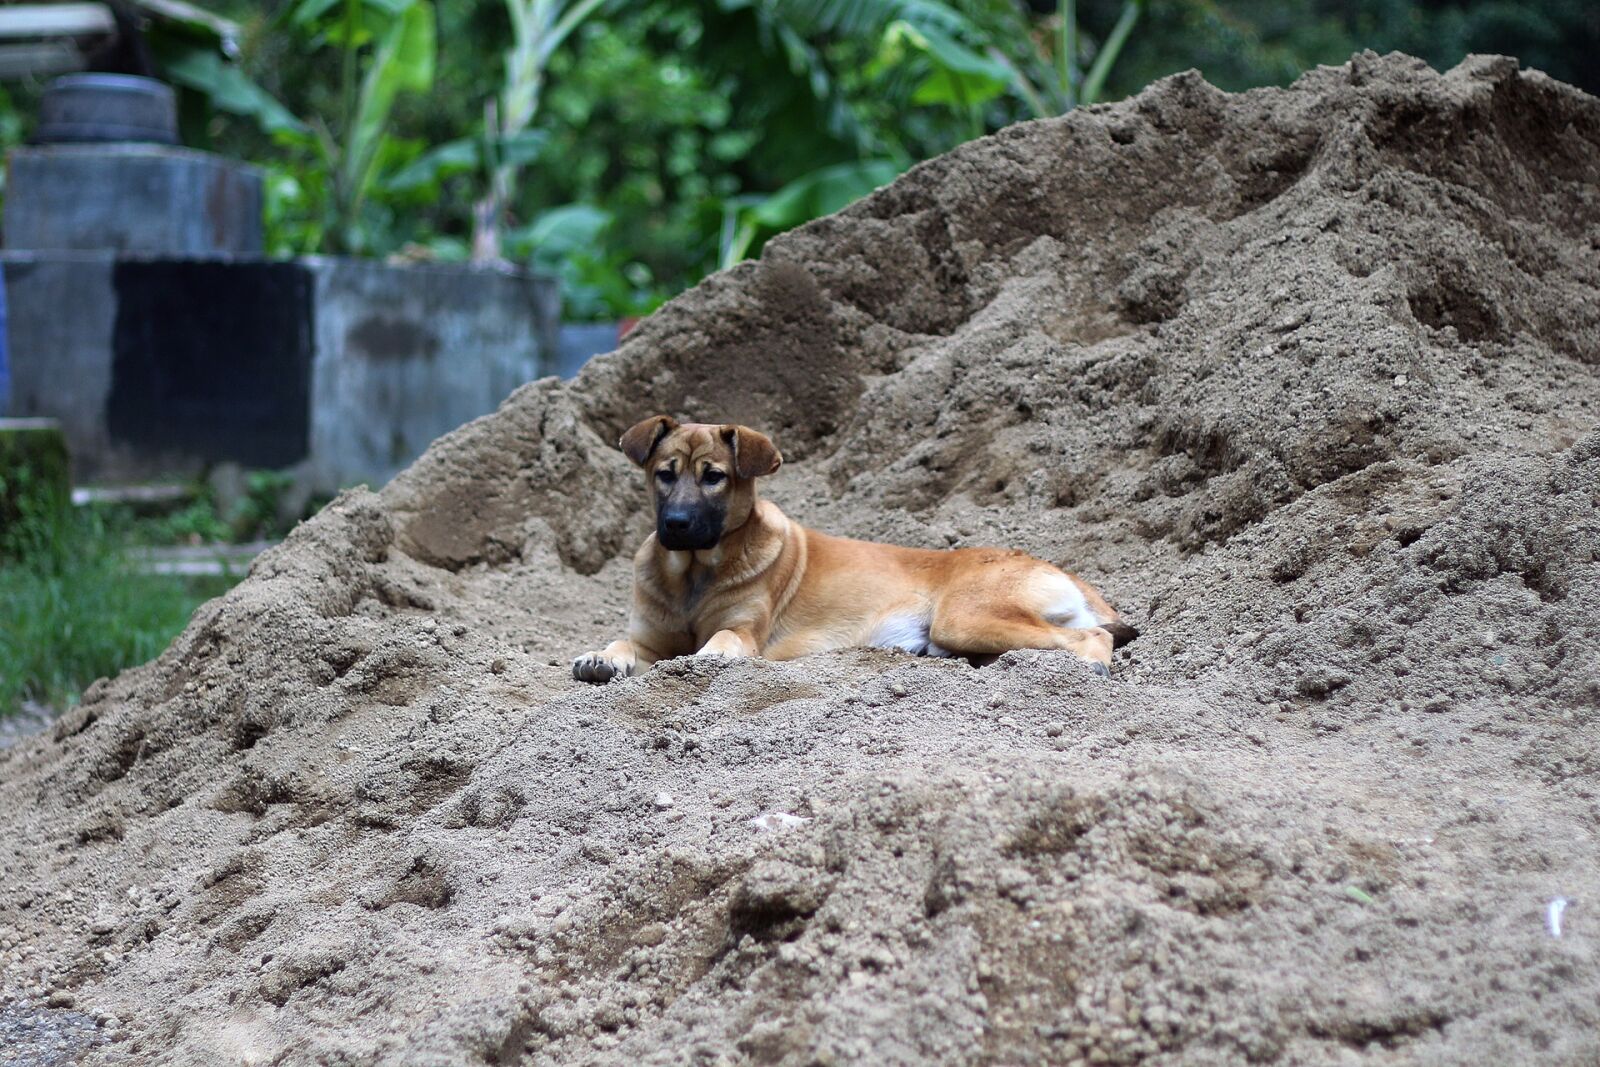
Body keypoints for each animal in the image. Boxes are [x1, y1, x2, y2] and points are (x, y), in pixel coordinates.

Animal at [569, 415, 1132, 684]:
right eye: (664, 475)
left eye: (714, 477)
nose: (677, 525)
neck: (691, 573)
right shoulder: (650, 638)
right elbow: (622, 644)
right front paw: (600, 657)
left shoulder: (744, 633)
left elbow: (720, 642)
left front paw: (703, 659)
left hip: (967, 617)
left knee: (1091, 638)